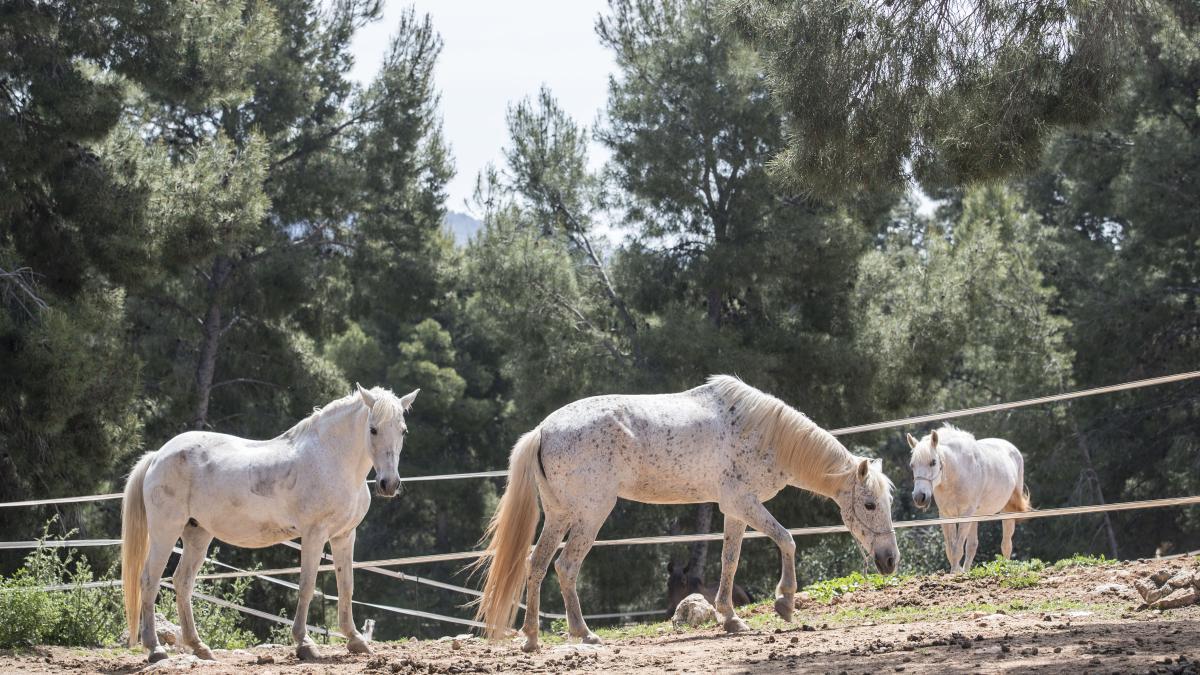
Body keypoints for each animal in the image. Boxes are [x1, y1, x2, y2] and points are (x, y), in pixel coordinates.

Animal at [121, 381, 420, 658]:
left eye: (403, 431)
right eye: (373, 429)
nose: (389, 484)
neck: (331, 459)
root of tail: (158, 456)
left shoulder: (344, 536)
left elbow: (346, 586)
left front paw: (355, 640)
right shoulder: (314, 535)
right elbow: (306, 586)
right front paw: (305, 644)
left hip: (197, 534)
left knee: (182, 582)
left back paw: (199, 647)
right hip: (165, 532)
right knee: (149, 580)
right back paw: (155, 649)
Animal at [472, 374, 897, 648]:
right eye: (870, 504)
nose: (890, 559)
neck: (763, 432)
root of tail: (543, 430)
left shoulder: (735, 510)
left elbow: (729, 560)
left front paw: (731, 618)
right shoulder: (744, 503)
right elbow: (787, 540)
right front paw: (785, 603)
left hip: (560, 516)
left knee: (537, 565)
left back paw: (531, 639)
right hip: (590, 516)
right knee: (565, 567)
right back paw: (583, 633)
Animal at [907, 422, 1032, 569]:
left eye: (933, 462)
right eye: (912, 465)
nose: (919, 497)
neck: (957, 474)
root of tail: (1012, 448)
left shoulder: (965, 514)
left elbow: (957, 549)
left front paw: (955, 572)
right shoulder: (946, 515)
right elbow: (951, 549)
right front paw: (958, 570)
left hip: (1006, 511)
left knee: (1006, 544)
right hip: (975, 516)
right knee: (972, 546)